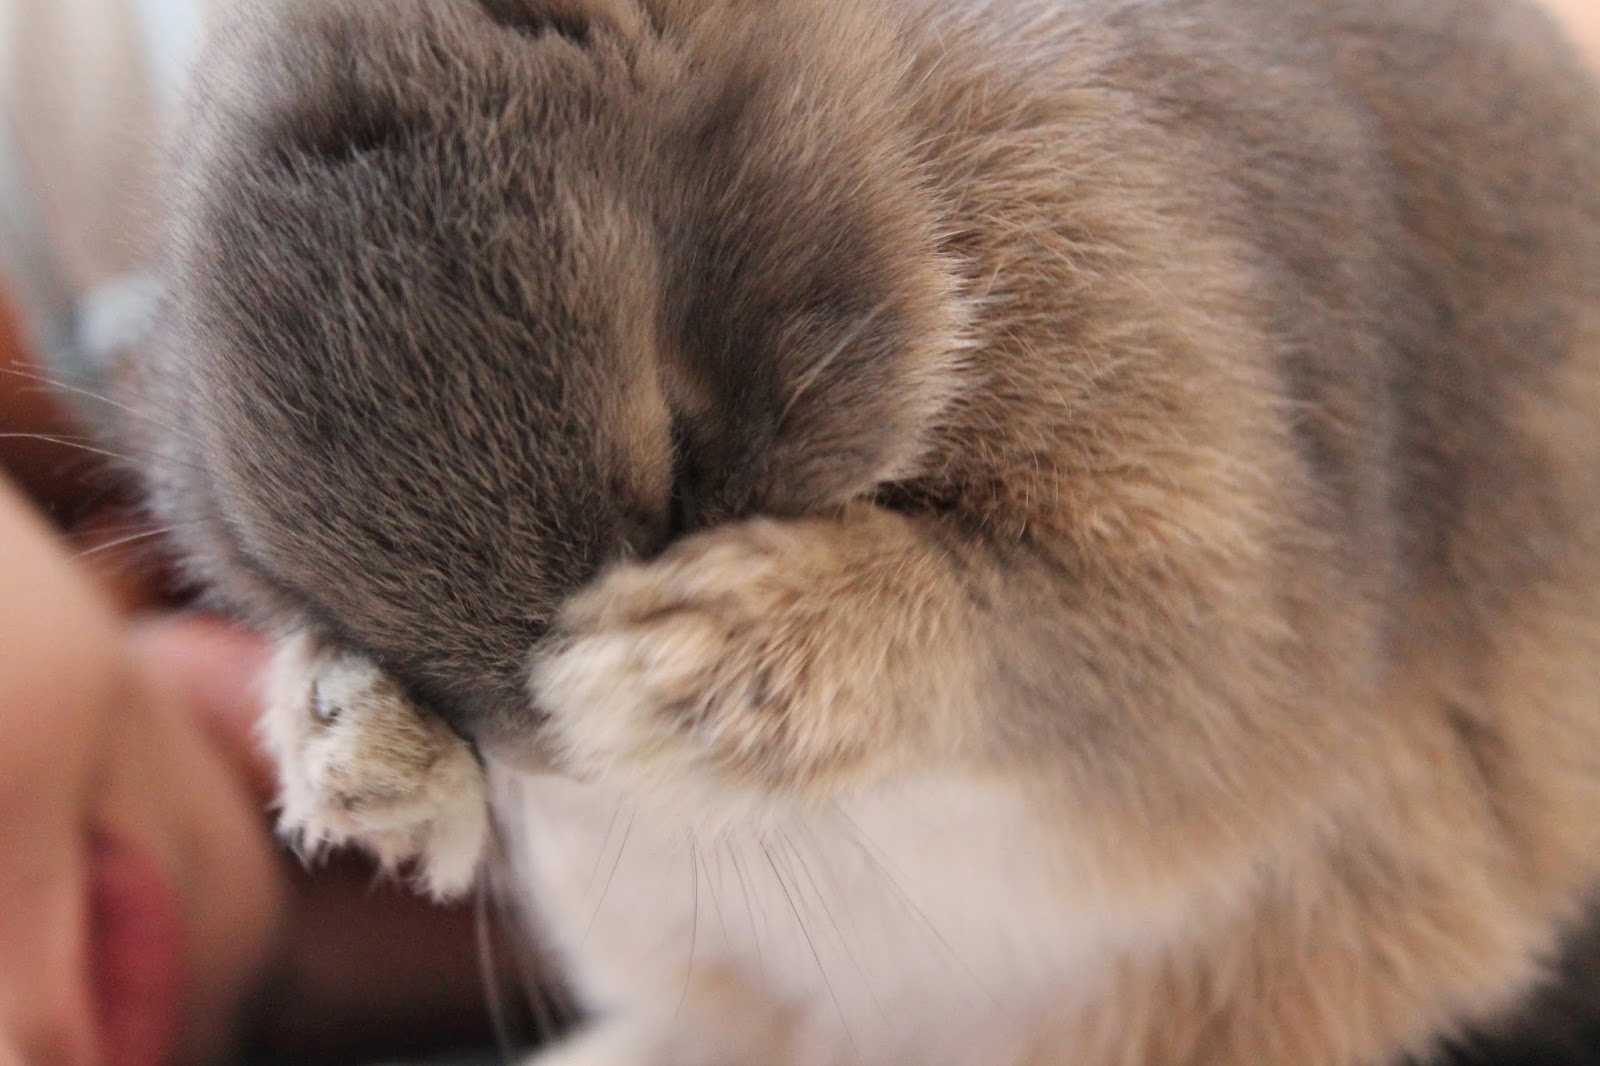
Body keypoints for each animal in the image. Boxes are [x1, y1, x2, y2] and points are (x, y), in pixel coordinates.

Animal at [123, 0, 1600, 1062]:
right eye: (321, 596)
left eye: (681, 457)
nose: (558, 750)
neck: (891, 132)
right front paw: (352, 757)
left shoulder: (1213, 555)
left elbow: (1029, 636)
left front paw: (672, 670)